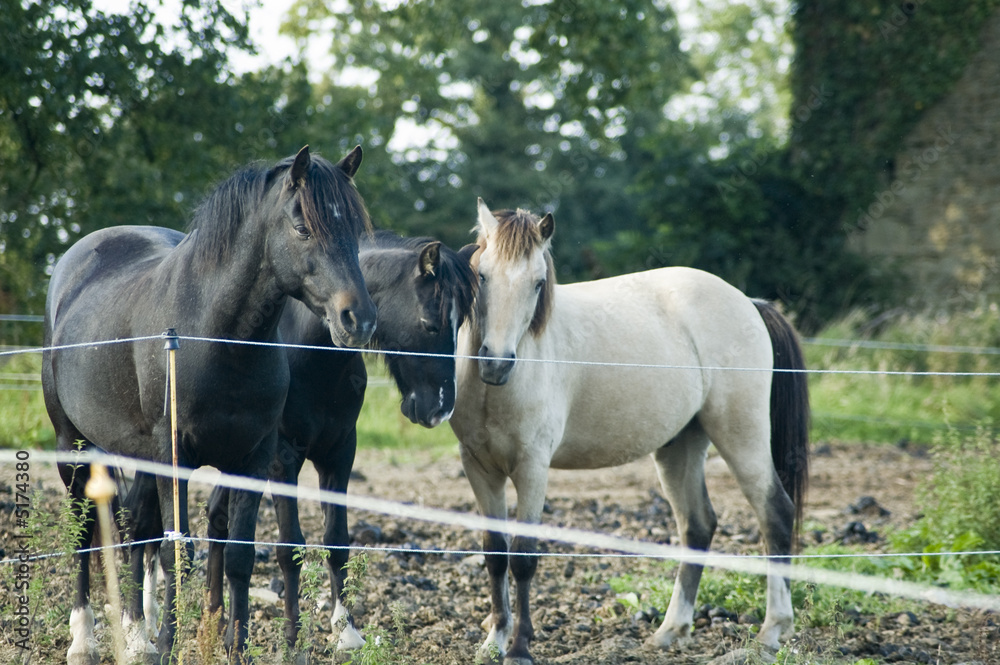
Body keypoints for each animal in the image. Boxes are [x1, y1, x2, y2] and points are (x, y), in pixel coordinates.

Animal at [42, 146, 378, 665]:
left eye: (355, 231)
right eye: (302, 227)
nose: (357, 319)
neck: (219, 338)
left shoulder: (254, 459)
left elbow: (238, 554)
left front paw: (236, 646)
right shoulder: (175, 457)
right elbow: (176, 552)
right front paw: (168, 644)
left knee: (135, 525)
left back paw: (135, 635)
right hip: (72, 445)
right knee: (84, 535)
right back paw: (85, 640)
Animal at [123, 231, 478, 654]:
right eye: (429, 324)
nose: (439, 409)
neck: (314, 353)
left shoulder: (339, 454)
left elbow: (336, 541)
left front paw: (346, 631)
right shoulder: (282, 459)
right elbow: (289, 547)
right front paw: (293, 637)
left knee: (215, 518)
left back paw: (211, 622)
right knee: (141, 520)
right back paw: (141, 627)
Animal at [448, 199, 810, 664]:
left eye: (538, 283)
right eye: (482, 276)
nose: (495, 362)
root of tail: (748, 302)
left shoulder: (532, 469)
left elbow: (524, 557)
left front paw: (521, 648)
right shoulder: (480, 468)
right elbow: (495, 554)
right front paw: (493, 642)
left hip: (741, 437)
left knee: (774, 514)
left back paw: (772, 631)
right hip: (680, 446)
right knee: (698, 526)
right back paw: (671, 631)